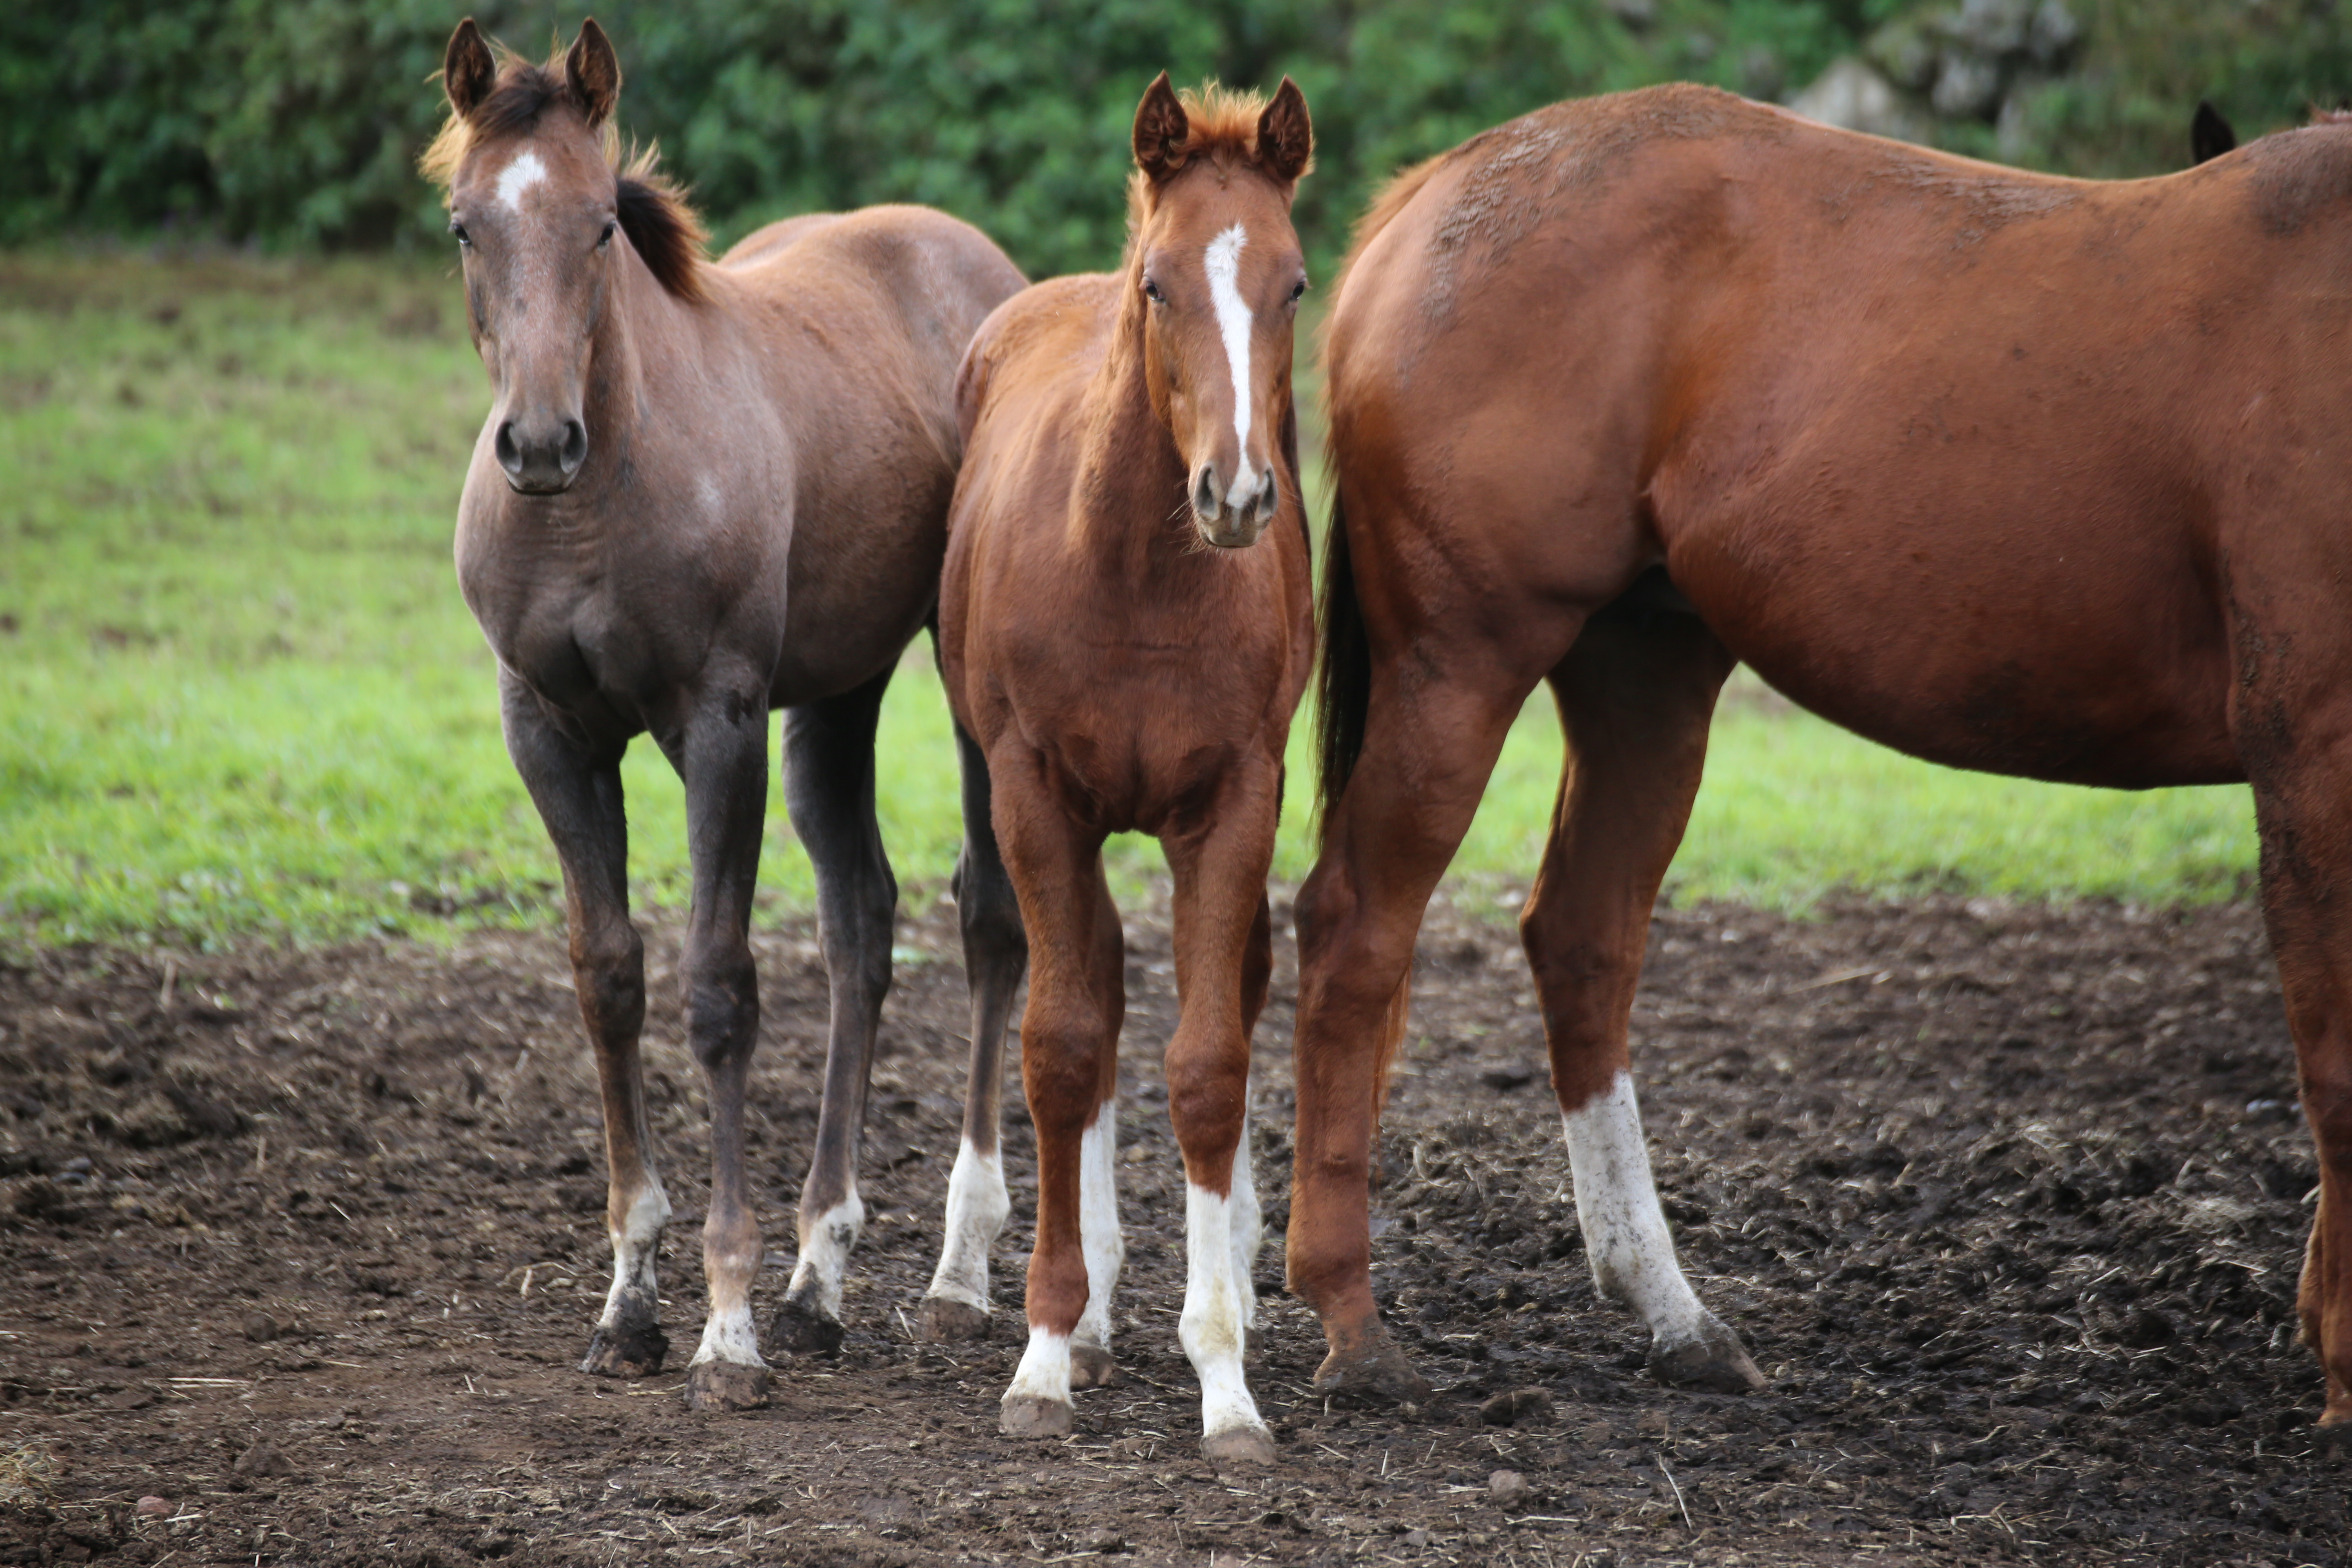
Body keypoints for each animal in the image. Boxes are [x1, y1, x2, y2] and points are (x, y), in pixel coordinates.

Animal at [421, 12, 1020, 1410]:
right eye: (467, 225)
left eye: (600, 226)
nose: (539, 443)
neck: (598, 505)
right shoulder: (546, 732)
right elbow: (610, 979)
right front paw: (631, 1305)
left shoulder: (718, 724)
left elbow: (718, 990)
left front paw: (726, 1323)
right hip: (838, 698)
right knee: (863, 922)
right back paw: (821, 1281)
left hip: (957, 686)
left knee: (988, 919)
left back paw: (955, 1274)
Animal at [927, 80, 1317, 1467]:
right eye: (1159, 285)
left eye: (1295, 282)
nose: (1237, 494)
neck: (1139, 577)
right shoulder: (1037, 791)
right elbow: (1062, 1040)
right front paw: (1045, 1353)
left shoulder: (1235, 801)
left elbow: (1206, 1062)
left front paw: (1228, 1377)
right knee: (1080, 986)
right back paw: (1085, 1306)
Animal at [1298, 86, 2352, 1439]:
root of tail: (1436, 191)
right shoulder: (2311, 748)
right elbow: (2336, 1063)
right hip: (1462, 667)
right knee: (1356, 933)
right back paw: (1352, 1318)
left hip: (1644, 672)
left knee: (1581, 939)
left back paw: (1671, 1311)